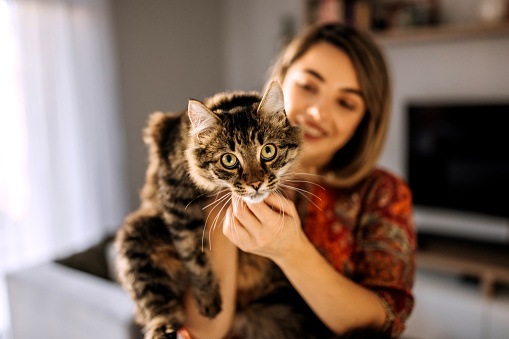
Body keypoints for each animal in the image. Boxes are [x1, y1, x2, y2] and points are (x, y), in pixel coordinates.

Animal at [115, 82, 308, 339]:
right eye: (229, 159)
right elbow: (195, 256)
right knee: (158, 304)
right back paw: (164, 329)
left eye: (268, 151)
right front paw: (208, 300)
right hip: (137, 233)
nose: (256, 184)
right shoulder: (177, 202)